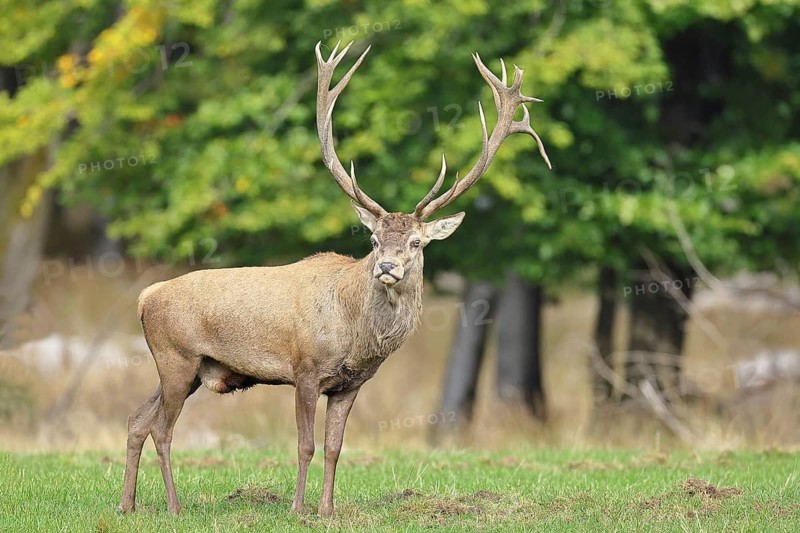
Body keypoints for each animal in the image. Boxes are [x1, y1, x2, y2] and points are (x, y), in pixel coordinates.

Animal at [117, 41, 551, 517]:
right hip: (176, 357)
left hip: (191, 369)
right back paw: (173, 507)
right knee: (161, 427)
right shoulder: (304, 369)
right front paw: (296, 509)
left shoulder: (350, 384)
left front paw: (326, 509)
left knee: (137, 418)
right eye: (375, 239)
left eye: (417, 242)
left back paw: (127, 505)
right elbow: (305, 445)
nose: (387, 267)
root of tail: (144, 298)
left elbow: (335, 447)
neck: (355, 331)